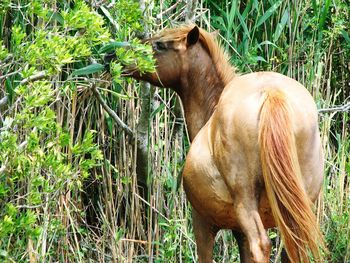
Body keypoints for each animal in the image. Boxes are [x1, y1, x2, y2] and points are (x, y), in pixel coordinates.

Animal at [128, 25, 326, 263]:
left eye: (160, 45)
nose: (112, 56)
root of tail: (272, 93)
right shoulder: (239, 232)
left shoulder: (203, 223)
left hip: (246, 204)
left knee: (261, 244)